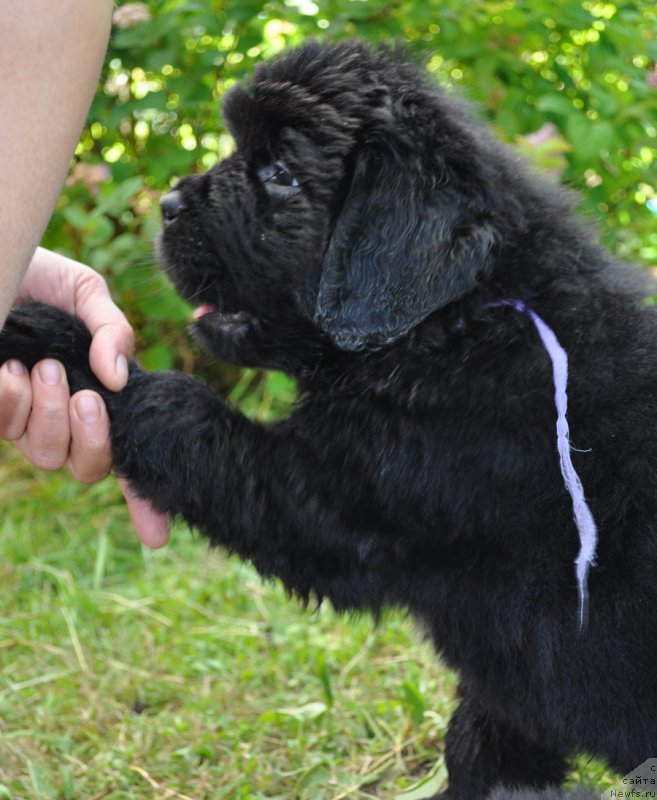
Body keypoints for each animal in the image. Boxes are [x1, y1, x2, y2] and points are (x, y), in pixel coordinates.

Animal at [2, 39, 652, 800]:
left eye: (281, 174)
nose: (164, 204)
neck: (461, 324)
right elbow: (482, 738)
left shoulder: (324, 497)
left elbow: (177, 409)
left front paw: (51, 335)